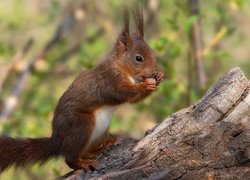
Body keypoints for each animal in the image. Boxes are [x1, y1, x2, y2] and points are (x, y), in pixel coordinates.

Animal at [0, 8, 164, 173]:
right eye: (138, 58)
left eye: (153, 53)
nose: (153, 72)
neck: (123, 68)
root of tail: (58, 141)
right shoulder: (109, 80)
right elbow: (121, 94)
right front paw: (145, 85)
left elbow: (133, 101)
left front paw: (160, 77)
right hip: (82, 125)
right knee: (69, 159)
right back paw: (82, 163)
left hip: (100, 130)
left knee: (84, 152)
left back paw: (103, 147)